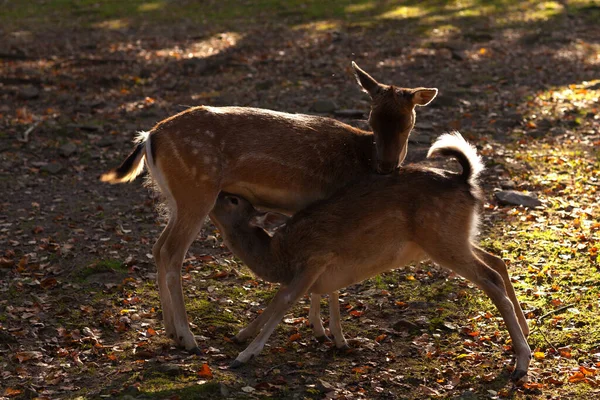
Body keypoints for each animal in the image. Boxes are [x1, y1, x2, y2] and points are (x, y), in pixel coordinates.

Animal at [98, 62, 436, 354]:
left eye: (407, 123)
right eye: (371, 118)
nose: (386, 166)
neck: (361, 160)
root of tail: (148, 137)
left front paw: (319, 330)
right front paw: (337, 338)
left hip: (175, 198)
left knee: (157, 248)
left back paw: (170, 331)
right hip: (197, 191)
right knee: (171, 253)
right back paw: (189, 338)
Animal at [210, 134, 528, 382]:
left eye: (234, 200)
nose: (216, 193)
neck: (277, 256)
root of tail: (467, 180)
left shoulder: (315, 258)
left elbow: (283, 301)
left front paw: (244, 355)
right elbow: (295, 298)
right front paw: (242, 335)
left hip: (442, 240)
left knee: (490, 278)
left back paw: (521, 363)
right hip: (456, 238)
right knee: (497, 260)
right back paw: (524, 332)